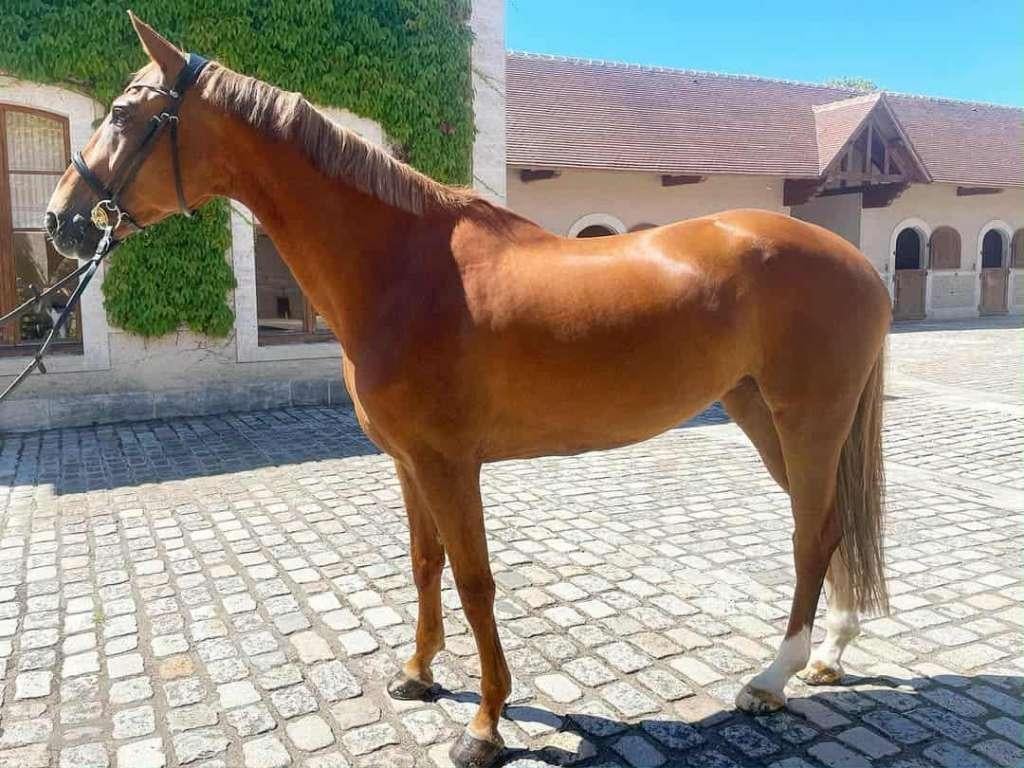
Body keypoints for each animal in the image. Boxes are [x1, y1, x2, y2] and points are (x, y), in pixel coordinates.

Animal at [46, 14, 891, 767]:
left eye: (122, 113)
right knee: (834, 525)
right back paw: (829, 655)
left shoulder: (453, 465)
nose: (61, 222)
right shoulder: (408, 461)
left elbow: (476, 580)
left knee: (812, 534)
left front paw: (484, 724)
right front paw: (417, 674)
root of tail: (856, 261)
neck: (403, 267)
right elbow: (426, 564)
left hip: (805, 420)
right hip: (761, 413)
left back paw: (772, 678)